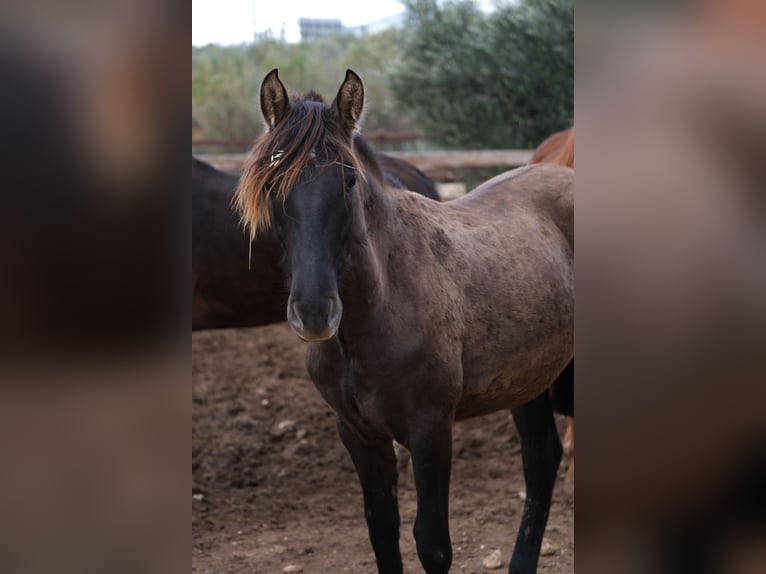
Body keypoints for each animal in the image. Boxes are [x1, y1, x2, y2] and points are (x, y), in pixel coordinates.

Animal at [235, 69, 574, 574]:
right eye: (274, 183)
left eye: (349, 180)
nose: (314, 312)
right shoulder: (358, 433)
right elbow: (382, 531)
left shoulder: (430, 429)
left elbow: (432, 544)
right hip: (528, 379)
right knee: (541, 459)